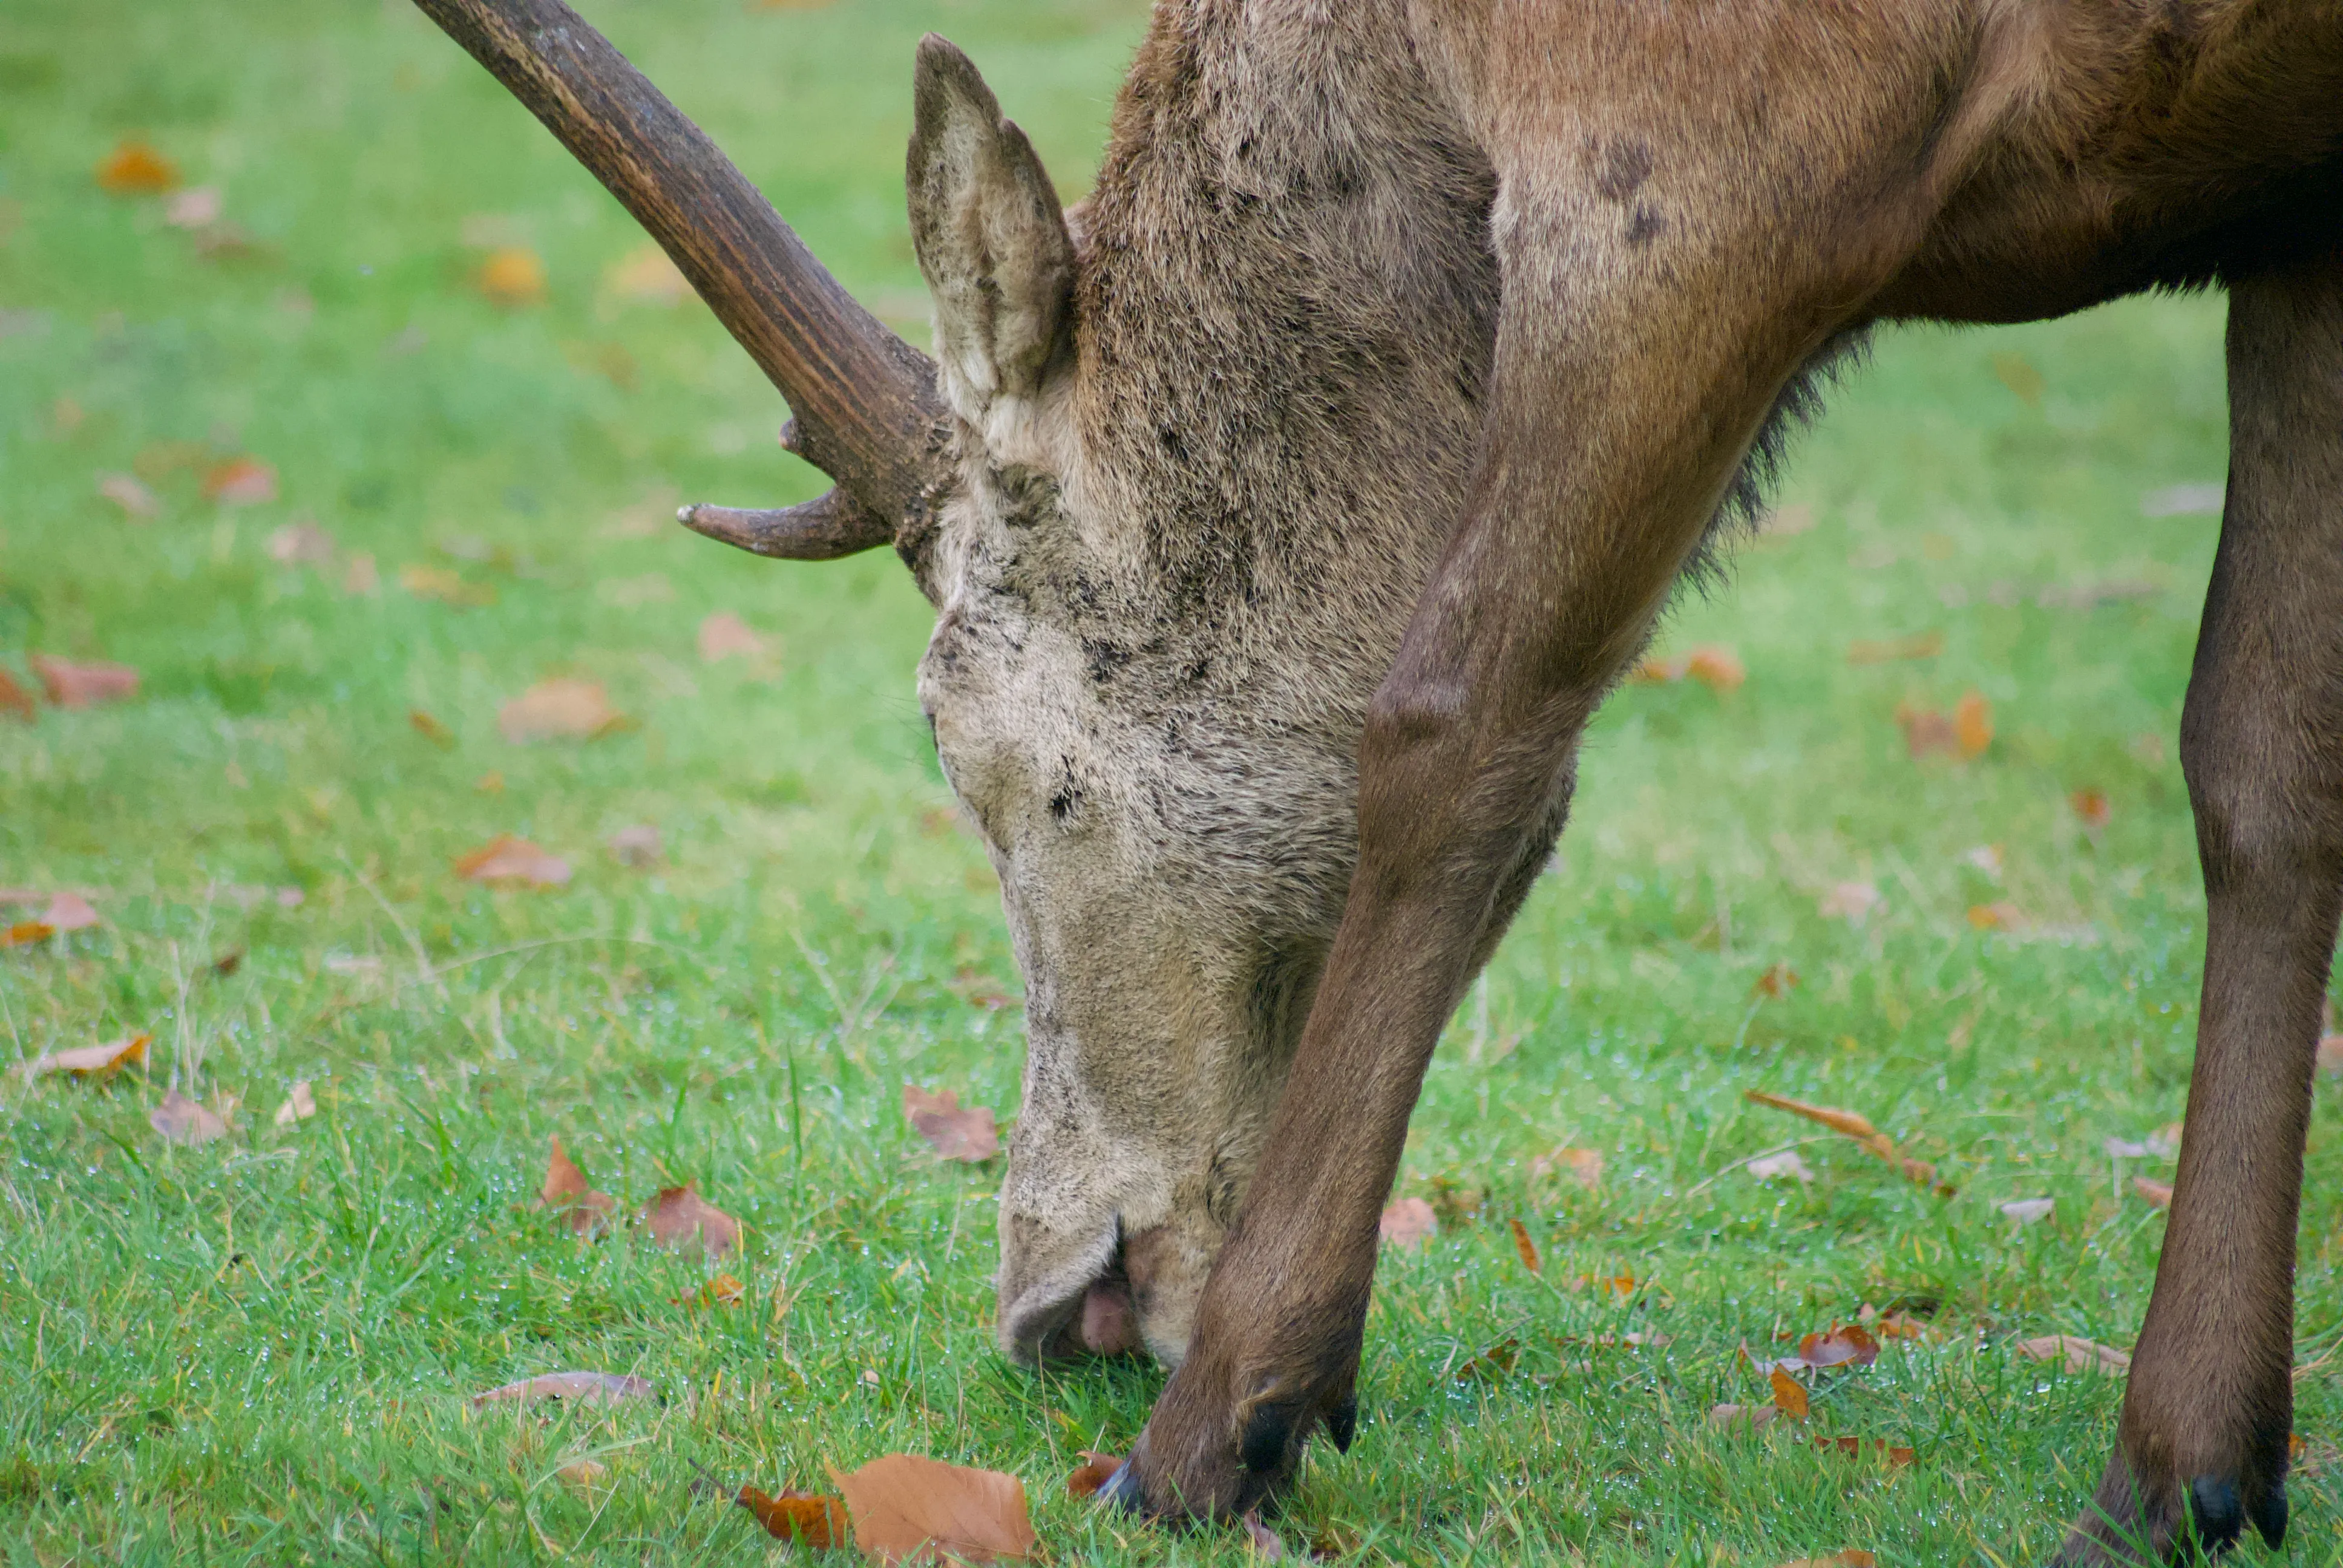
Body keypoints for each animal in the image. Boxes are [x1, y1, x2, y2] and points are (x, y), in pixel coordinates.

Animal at [414, 0, 2343, 1559]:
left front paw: (1222, 1432)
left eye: (984, 763)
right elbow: (2264, 759)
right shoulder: (2301, 214)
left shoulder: (1707, 170)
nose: (1052, 1307)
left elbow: (1452, 732)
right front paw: (2188, 1472)